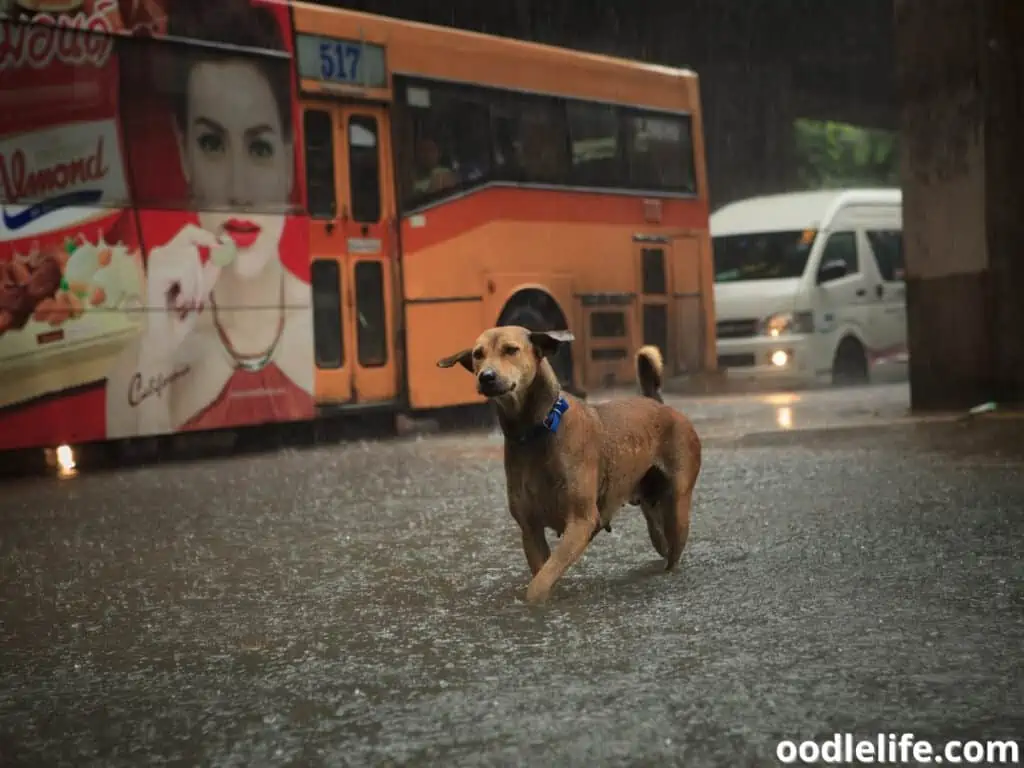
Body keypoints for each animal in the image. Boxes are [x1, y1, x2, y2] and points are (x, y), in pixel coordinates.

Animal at [436, 327, 700, 606]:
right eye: (478, 354)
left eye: (511, 349)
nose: (486, 376)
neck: (537, 431)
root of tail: (659, 404)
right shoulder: (530, 529)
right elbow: (543, 573)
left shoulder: (581, 521)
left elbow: (540, 582)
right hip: (650, 502)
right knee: (658, 535)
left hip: (678, 508)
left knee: (674, 548)